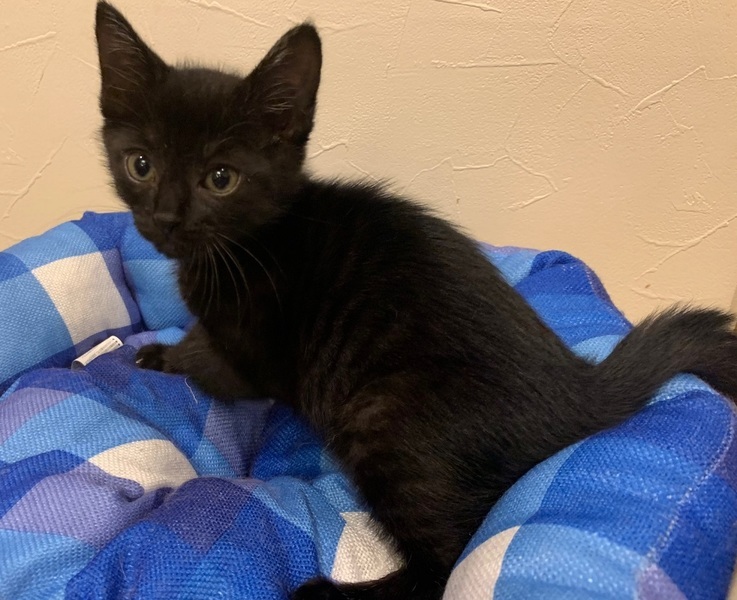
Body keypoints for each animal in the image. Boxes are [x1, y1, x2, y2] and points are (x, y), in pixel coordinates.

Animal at [95, 3, 737, 599]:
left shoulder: (254, 360)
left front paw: (165, 355)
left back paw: (326, 592)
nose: (165, 219)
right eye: (141, 165)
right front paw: (164, 347)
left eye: (221, 179)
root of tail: (580, 388)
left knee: (444, 563)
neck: (241, 245)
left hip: (384, 417)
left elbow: (212, 361)